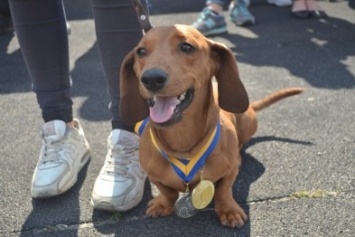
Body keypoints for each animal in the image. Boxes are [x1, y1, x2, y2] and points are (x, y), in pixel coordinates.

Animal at [119, 24, 304, 228]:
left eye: (187, 47)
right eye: (141, 51)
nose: (151, 79)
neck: (183, 146)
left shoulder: (229, 172)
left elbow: (224, 190)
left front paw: (229, 210)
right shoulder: (153, 175)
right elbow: (168, 191)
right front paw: (163, 204)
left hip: (248, 123)